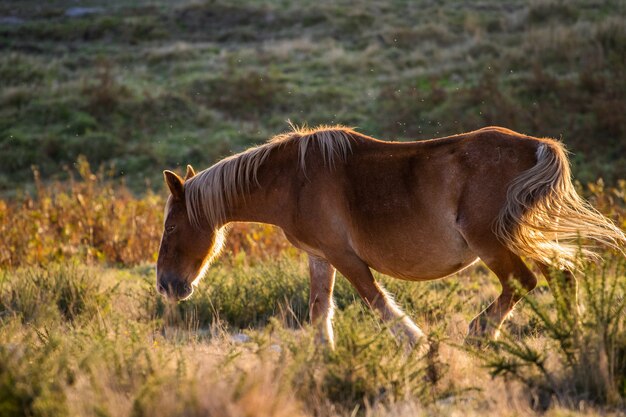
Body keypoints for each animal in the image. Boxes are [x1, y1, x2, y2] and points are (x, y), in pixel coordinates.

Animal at [156, 125, 624, 346]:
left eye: (172, 226)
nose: (167, 285)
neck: (294, 180)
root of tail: (535, 145)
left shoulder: (344, 256)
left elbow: (377, 302)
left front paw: (418, 344)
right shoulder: (320, 256)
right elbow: (319, 311)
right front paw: (323, 356)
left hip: (492, 242)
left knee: (522, 282)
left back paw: (479, 333)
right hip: (520, 236)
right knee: (561, 276)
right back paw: (574, 335)